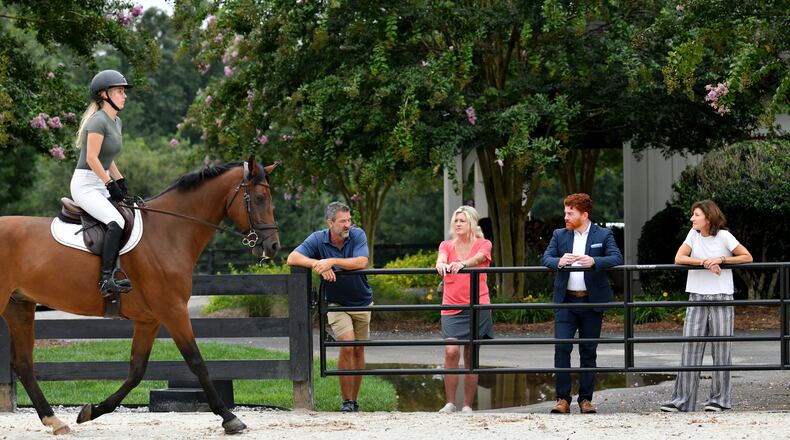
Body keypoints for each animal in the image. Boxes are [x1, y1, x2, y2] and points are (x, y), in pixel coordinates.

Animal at [0, 156, 280, 435]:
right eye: (259, 198)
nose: (273, 246)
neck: (169, 231)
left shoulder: (150, 320)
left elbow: (136, 370)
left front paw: (92, 411)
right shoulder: (173, 311)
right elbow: (196, 361)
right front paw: (229, 417)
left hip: (19, 307)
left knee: (23, 364)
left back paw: (54, 421)